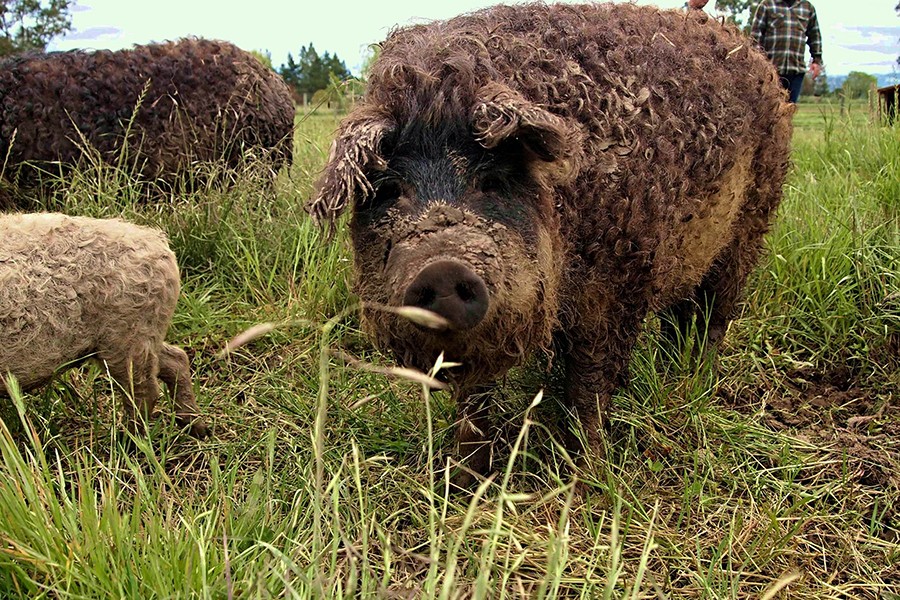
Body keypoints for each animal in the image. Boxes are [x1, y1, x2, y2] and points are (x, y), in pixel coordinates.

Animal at [0, 213, 209, 438]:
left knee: (144, 390)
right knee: (176, 359)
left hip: (127, 336)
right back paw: (196, 428)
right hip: (142, 334)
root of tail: (160, 246)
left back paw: (127, 439)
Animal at [310, 2, 796, 488]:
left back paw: (695, 384)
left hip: (750, 226)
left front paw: (588, 479)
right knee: (679, 318)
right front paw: (462, 482)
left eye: (492, 180)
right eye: (390, 190)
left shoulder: (614, 290)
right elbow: (473, 402)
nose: (443, 269)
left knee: (716, 314)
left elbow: (589, 387)